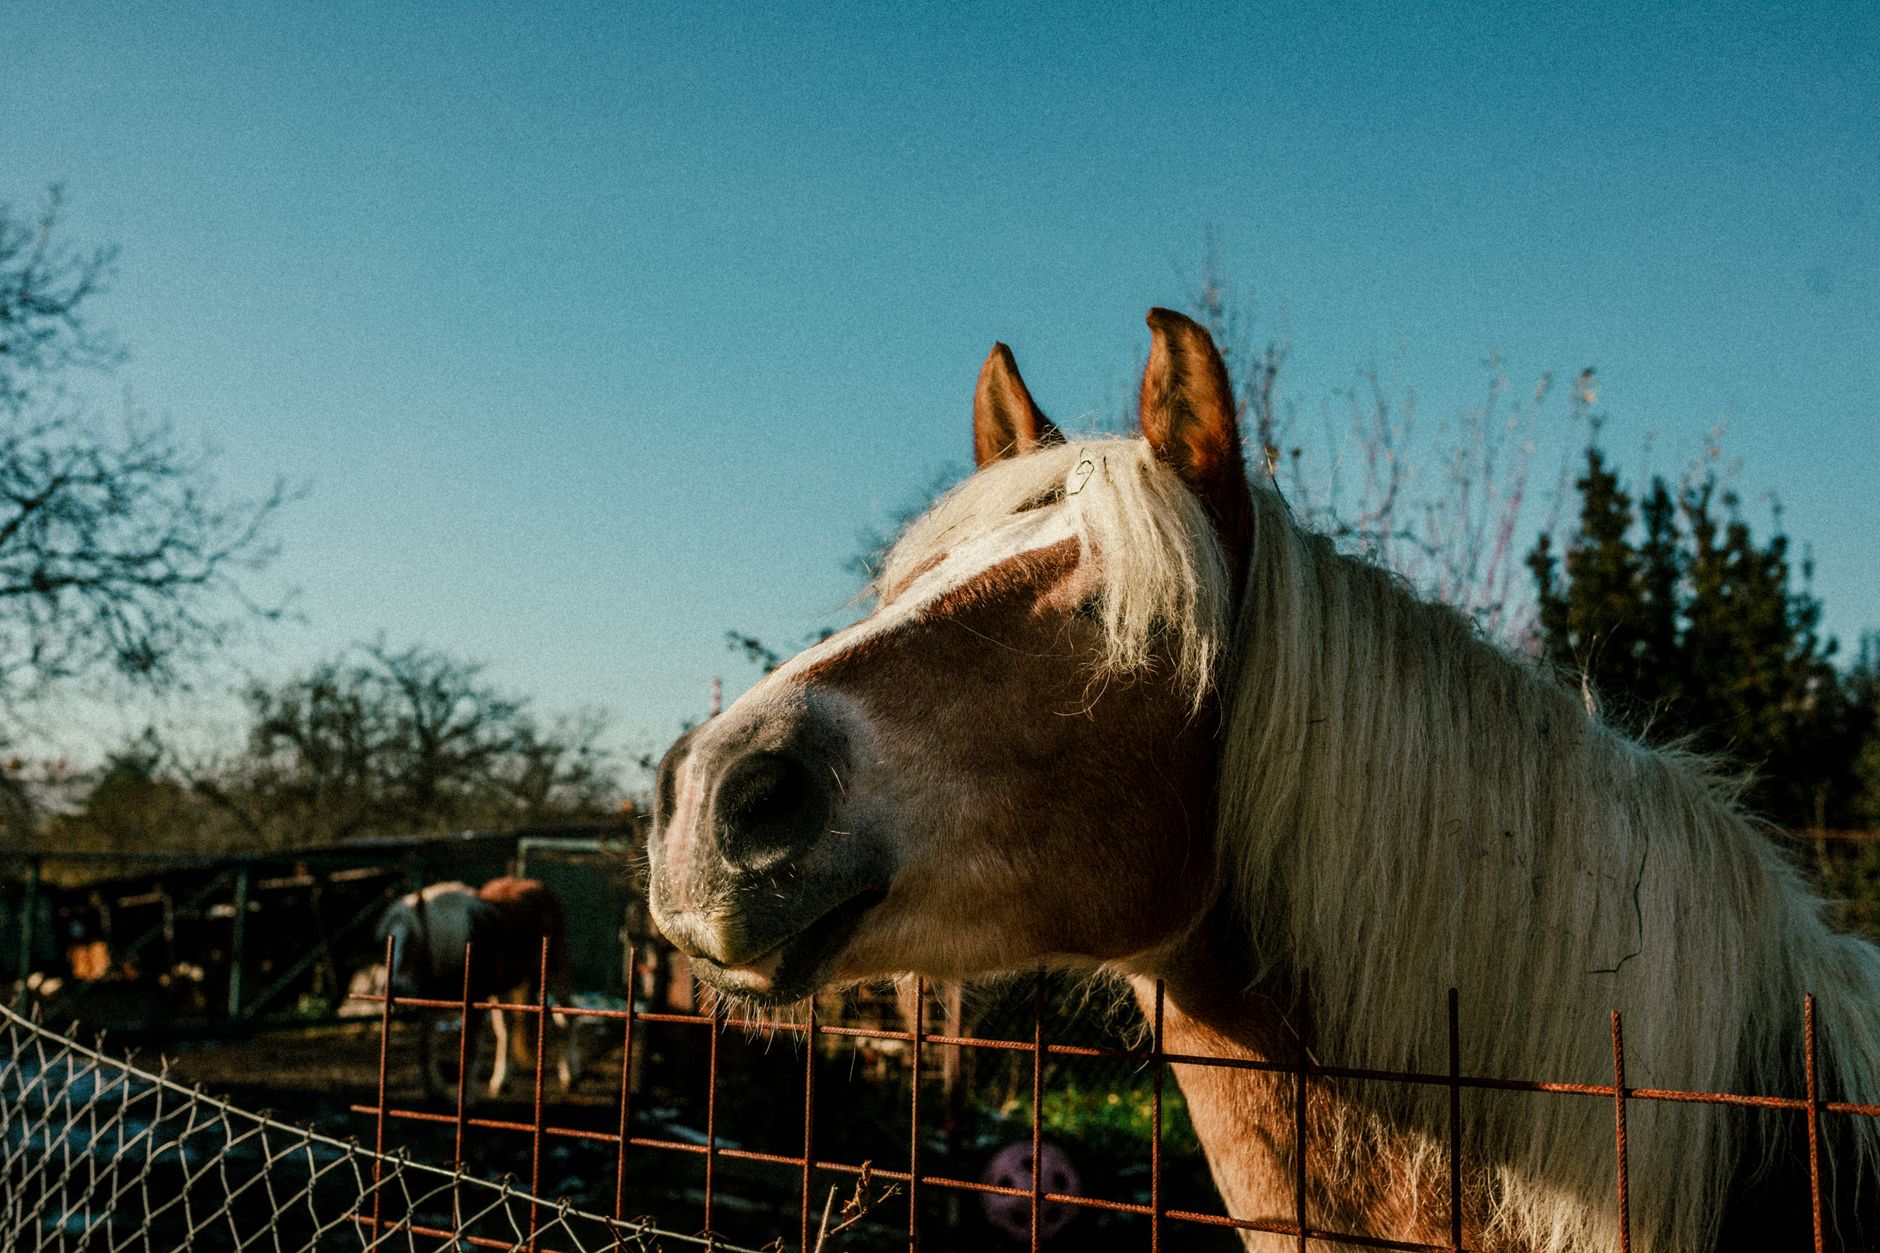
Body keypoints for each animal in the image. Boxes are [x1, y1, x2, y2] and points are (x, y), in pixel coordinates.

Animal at [376, 876, 583, 1103]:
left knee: (568, 1017)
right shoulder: (429, 1001)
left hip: (556, 970)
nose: (392, 987)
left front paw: (465, 1099)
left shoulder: (473, 1004)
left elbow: (469, 1051)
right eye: (387, 942)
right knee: (506, 1027)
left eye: (413, 941)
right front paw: (434, 1089)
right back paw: (501, 1081)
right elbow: (424, 1046)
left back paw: (570, 1075)